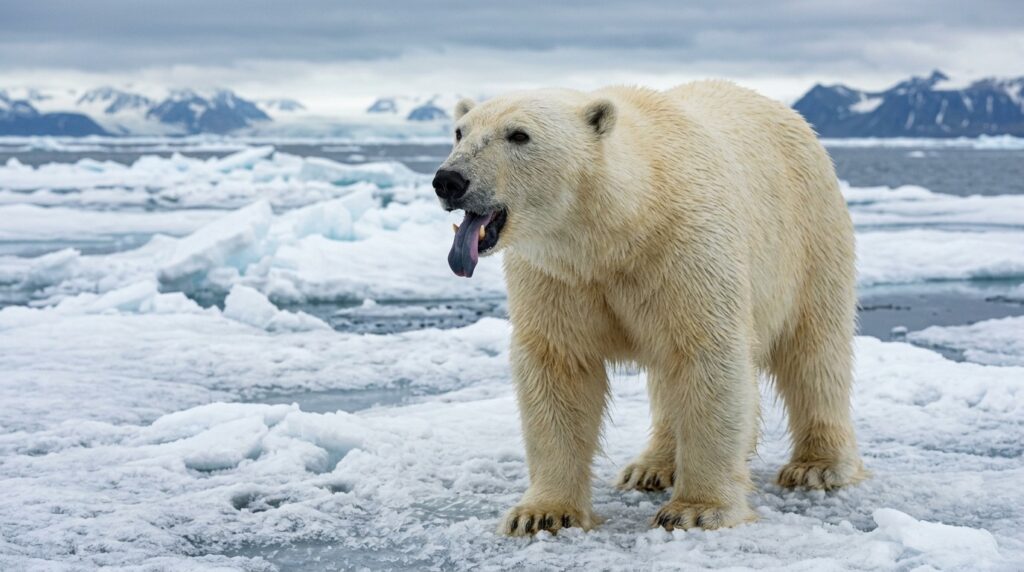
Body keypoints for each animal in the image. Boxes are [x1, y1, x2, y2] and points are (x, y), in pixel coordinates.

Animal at [432, 81, 866, 536]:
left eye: (519, 135)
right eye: (460, 132)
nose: (449, 180)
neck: (622, 227)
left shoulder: (686, 249)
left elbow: (709, 357)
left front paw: (696, 509)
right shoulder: (557, 276)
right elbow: (558, 367)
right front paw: (541, 513)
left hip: (810, 235)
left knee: (814, 352)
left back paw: (818, 466)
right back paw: (651, 467)